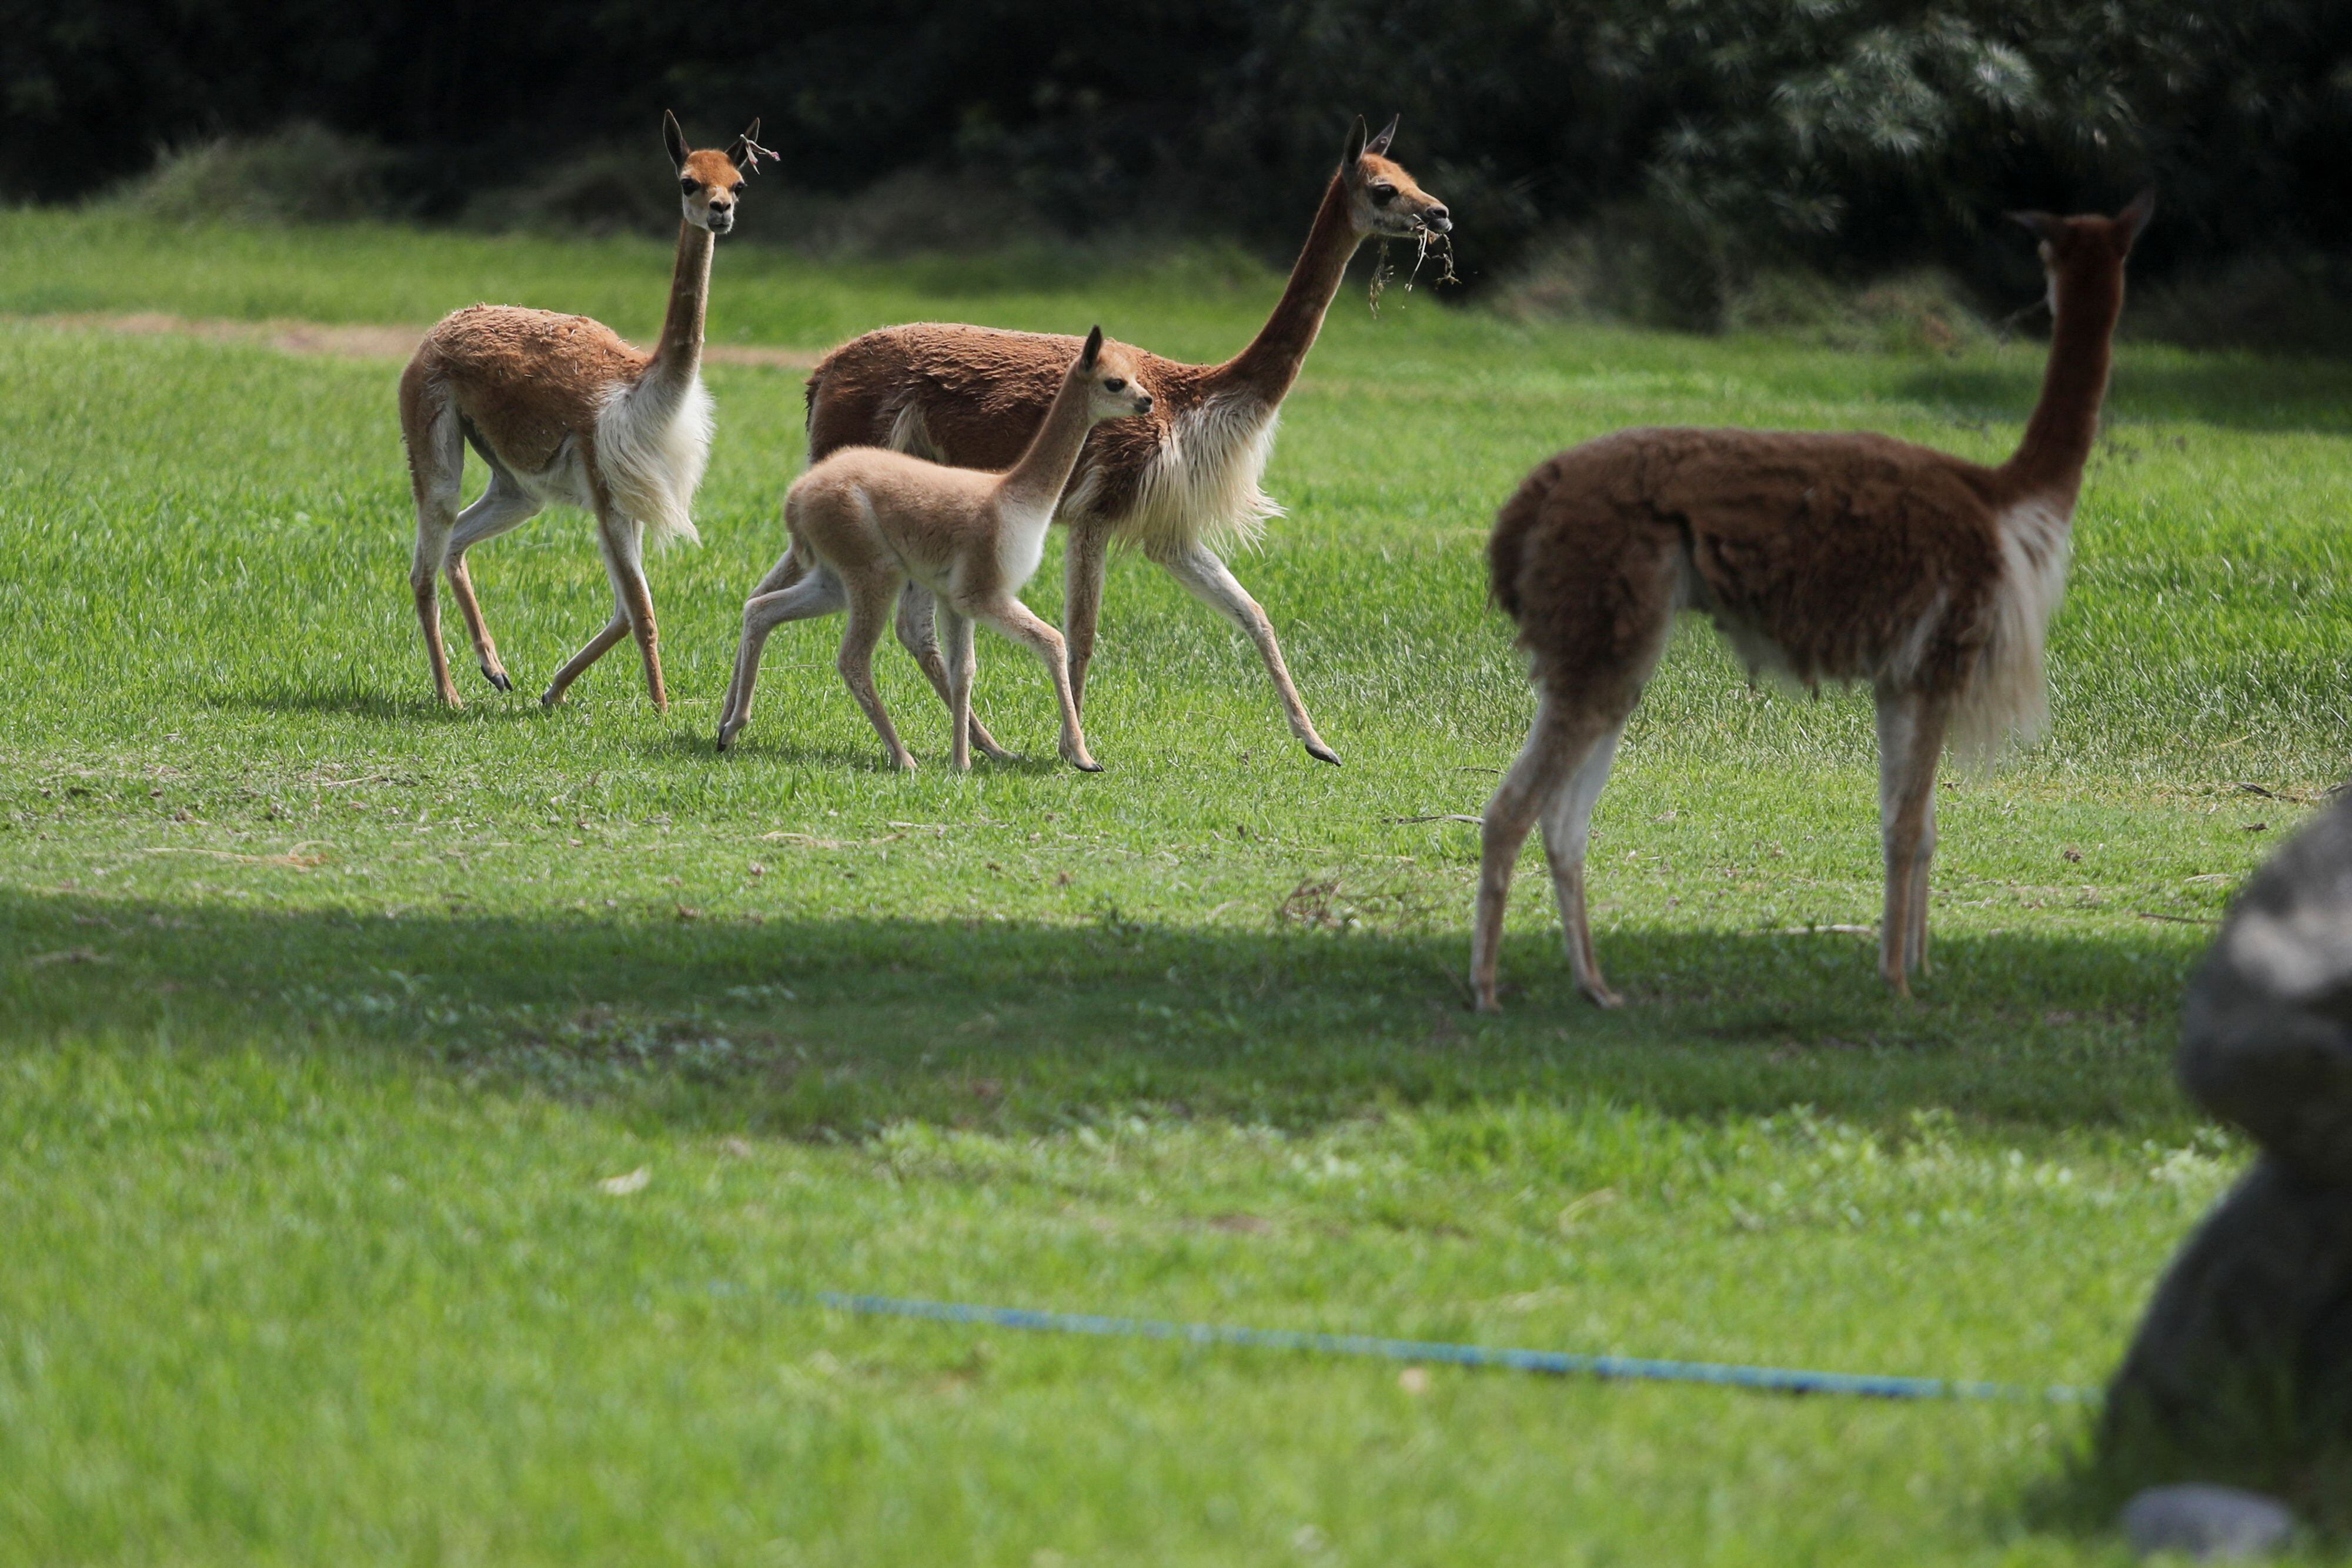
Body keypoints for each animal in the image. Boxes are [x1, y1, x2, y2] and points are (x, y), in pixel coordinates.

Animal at [715, 329, 1157, 771]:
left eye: (1135, 376)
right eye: (1115, 382)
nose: (1147, 401)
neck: (1015, 496)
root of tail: (797, 497)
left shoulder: (954, 598)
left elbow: (965, 670)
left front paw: (961, 762)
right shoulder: (982, 593)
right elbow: (1052, 641)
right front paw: (1083, 757)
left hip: (833, 580)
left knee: (762, 609)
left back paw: (731, 728)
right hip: (876, 572)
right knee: (852, 658)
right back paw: (902, 757)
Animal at [1477, 190, 2154, 1011]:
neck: (2008, 500)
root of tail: (1528, 501)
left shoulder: (1903, 676)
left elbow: (1918, 826)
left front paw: (1918, 966)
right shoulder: (1941, 656)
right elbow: (1906, 826)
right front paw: (1897, 980)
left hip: (1606, 645)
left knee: (1563, 822)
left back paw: (1595, 987)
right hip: (1603, 626)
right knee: (1510, 811)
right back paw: (1485, 991)